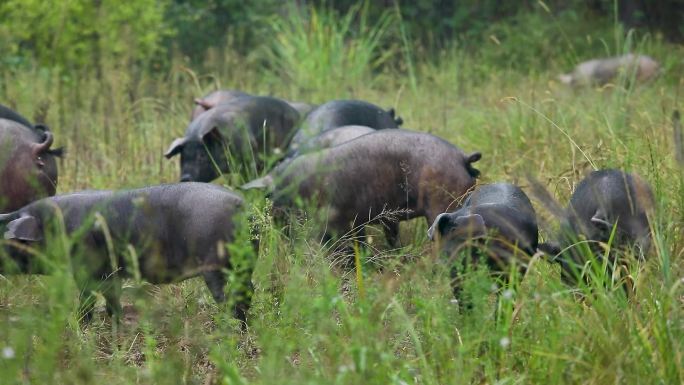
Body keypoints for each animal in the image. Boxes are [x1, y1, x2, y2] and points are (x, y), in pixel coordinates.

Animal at [0, 182, 255, 322]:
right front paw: (117, 323)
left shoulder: (85, 269)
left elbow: (87, 300)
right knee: (247, 292)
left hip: (216, 265)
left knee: (229, 299)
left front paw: (81, 324)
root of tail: (239, 204)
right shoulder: (110, 273)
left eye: (7, 241)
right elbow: (112, 299)